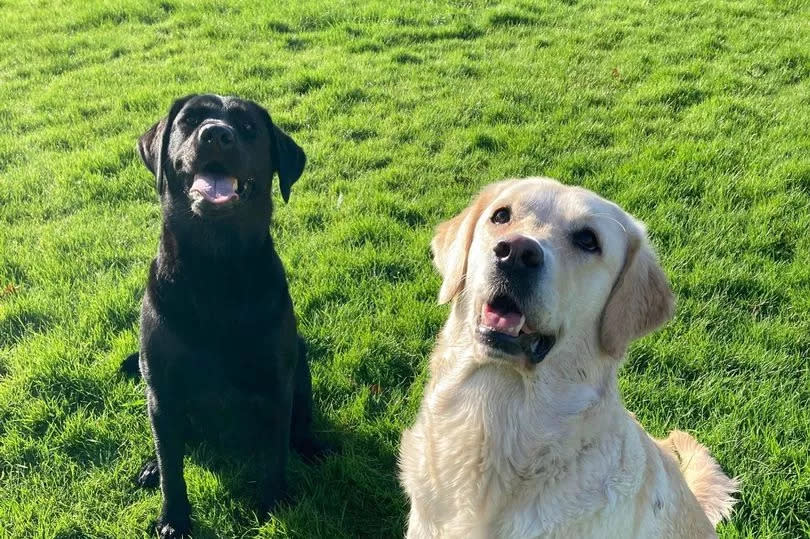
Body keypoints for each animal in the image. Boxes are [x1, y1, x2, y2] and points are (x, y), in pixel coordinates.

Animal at [131, 94, 320, 539]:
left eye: (248, 127)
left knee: (302, 415)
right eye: (189, 120)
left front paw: (274, 504)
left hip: (300, 360)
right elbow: (172, 465)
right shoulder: (162, 389)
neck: (216, 268)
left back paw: (312, 444)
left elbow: (274, 453)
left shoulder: (275, 383)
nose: (216, 134)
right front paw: (174, 519)